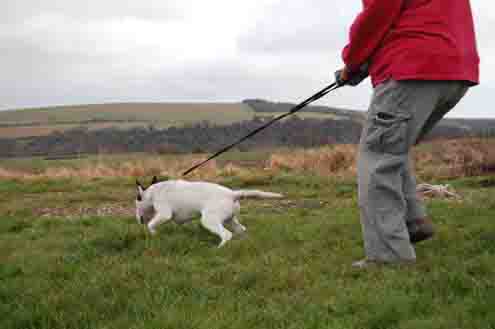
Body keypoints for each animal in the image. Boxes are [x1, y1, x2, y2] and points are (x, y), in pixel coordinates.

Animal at [135, 177, 282, 246]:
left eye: (136, 201)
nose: (137, 218)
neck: (152, 192)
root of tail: (232, 194)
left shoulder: (164, 214)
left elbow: (151, 225)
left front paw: (154, 234)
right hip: (229, 220)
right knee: (241, 230)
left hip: (209, 220)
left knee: (226, 235)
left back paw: (218, 249)